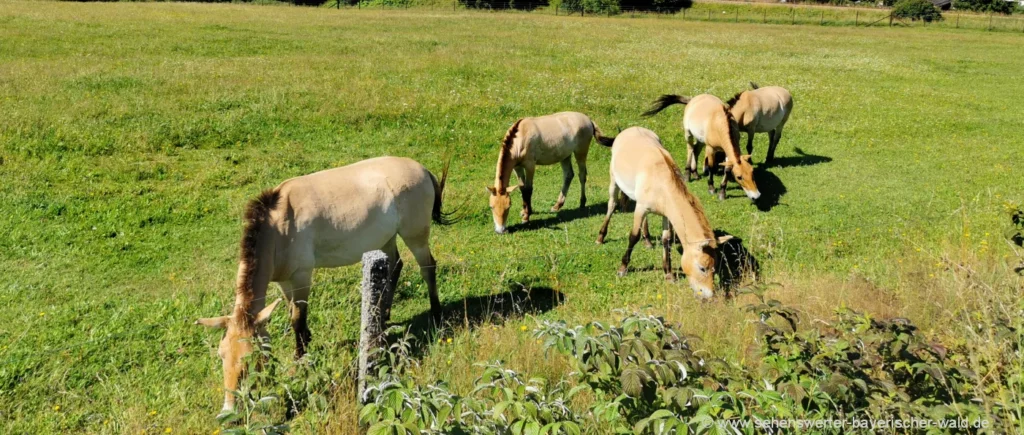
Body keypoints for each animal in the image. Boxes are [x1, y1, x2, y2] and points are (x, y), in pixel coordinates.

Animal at [194, 155, 448, 409]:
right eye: (221, 355)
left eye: (250, 358)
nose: (229, 409)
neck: (279, 229)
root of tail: (423, 169)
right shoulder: (284, 281)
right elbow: (291, 314)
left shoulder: (302, 276)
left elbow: (298, 319)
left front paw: (300, 360)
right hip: (386, 237)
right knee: (395, 266)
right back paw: (383, 314)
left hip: (415, 236)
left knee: (428, 268)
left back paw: (436, 314)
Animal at [598, 126, 733, 298]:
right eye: (702, 268)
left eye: (714, 268)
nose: (709, 295)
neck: (661, 181)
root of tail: (628, 129)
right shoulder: (641, 208)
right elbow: (633, 237)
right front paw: (622, 269)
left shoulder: (667, 214)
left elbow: (666, 240)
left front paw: (669, 274)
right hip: (614, 181)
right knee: (611, 205)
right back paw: (601, 237)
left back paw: (648, 241)